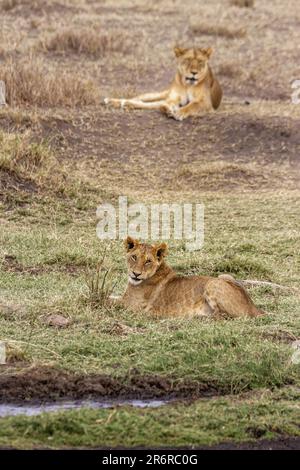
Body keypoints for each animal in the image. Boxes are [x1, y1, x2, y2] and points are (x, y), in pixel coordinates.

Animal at [118, 237, 264, 318]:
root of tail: (255, 307)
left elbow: (113, 302)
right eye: (134, 257)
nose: (136, 274)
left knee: (224, 317)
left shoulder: (130, 305)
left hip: (212, 283)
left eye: (148, 261)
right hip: (224, 275)